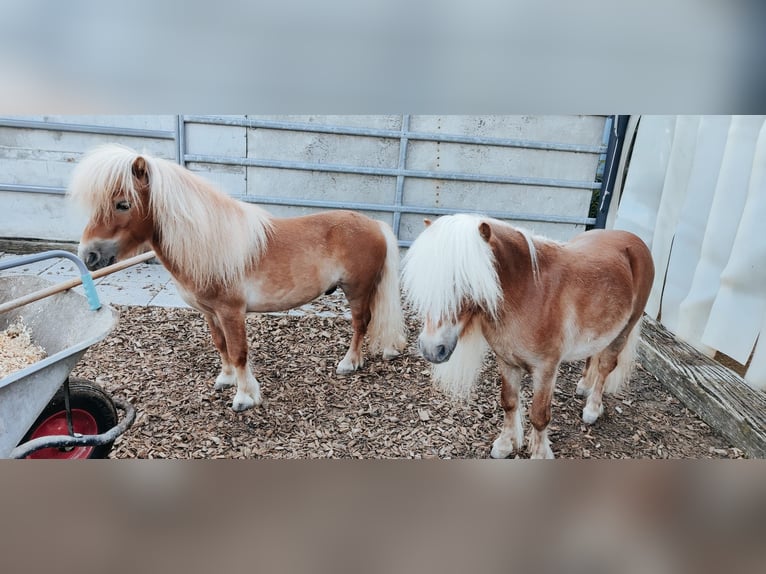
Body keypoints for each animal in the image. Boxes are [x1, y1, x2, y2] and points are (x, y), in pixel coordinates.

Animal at [70, 144, 408, 414]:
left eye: (123, 204)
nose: (88, 255)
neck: (209, 244)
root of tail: (375, 224)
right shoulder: (210, 312)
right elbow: (220, 345)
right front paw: (226, 379)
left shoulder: (231, 312)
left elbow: (238, 351)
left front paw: (245, 397)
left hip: (357, 290)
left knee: (360, 323)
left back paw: (349, 363)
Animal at [402, 214, 656, 462]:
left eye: (469, 280)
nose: (431, 348)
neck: (529, 293)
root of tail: (633, 240)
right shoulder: (506, 362)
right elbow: (508, 402)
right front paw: (504, 445)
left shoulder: (545, 370)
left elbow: (539, 416)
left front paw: (540, 453)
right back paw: (583, 386)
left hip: (623, 331)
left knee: (605, 367)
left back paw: (592, 409)